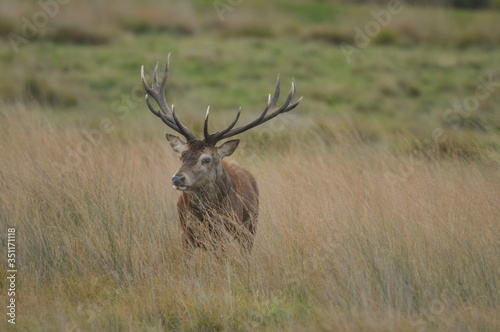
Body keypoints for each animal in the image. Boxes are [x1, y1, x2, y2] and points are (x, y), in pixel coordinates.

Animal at [142, 53, 300, 262]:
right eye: (182, 156)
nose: (177, 178)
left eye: (207, 159)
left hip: (250, 227)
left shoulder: (224, 234)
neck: (205, 217)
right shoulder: (185, 233)